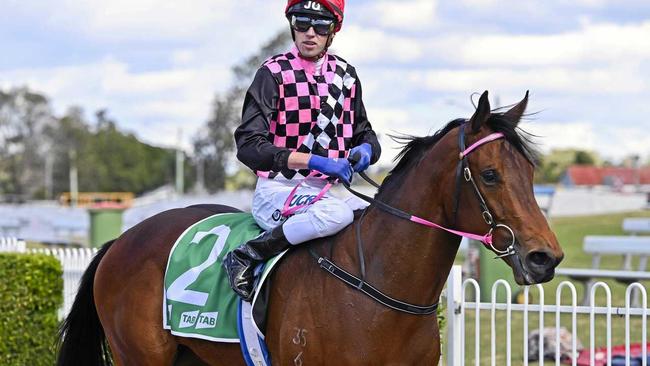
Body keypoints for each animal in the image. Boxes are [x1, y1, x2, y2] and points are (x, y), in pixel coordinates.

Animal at [55, 90, 560, 364]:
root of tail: (121, 239)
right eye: (490, 175)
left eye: (532, 172)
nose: (545, 257)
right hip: (140, 355)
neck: (377, 289)